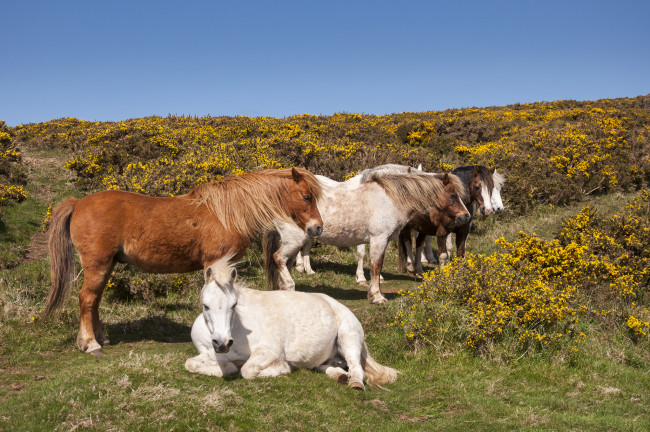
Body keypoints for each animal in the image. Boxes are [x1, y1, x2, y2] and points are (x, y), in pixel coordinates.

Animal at [42, 168, 322, 354]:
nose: (317, 228)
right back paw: (90, 344)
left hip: (106, 265)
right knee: (87, 299)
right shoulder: (217, 265)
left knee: (95, 301)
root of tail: (79, 203)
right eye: (306, 196)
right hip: (97, 265)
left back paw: (101, 338)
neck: (226, 213)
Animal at [185, 256, 398, 392]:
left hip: (349, 338)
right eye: (206, 305)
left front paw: (285, 367)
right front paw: (230, 366)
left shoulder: (269, 351)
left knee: (356, 368)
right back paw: (339, 375)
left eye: (234, 304)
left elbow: (248, 370)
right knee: (324, 366)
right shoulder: (209, 354)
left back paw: (354, 382)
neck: (237, 328)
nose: (222, 343)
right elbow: (191, 364)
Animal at [260, 170, 468, 302]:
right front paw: (377, 296)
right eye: (452, 195)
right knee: (279, 259)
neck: (390, 199)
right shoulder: (378, 239)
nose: (466, 216)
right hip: (294, 241)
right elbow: (376, 266)